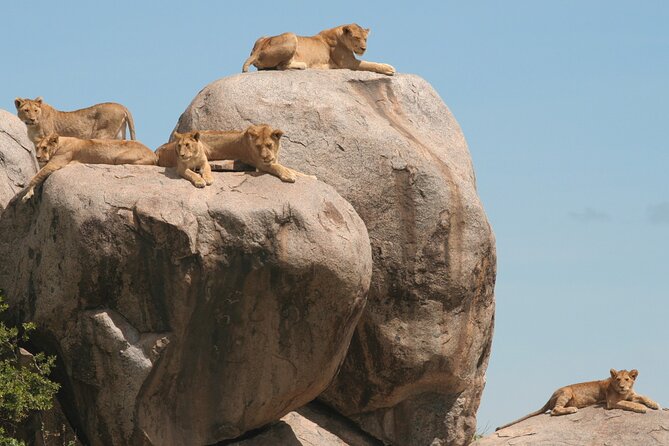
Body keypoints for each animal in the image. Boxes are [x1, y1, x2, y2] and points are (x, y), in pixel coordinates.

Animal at [20, 132, 157, 202]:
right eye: (37, 147)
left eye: (44, 148)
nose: (37, 157)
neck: (61, 143)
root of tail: (154, 154)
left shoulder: (56, 163)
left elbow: (35, 176)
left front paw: (27, 194)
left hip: (119, 158)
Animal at [156, 123, 314, 183]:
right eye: (258, 146)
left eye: (269, 145)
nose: (264, 156)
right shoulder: (261, 165)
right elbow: (278, 168)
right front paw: (288, 175)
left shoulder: (272, 160)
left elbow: (293, 169)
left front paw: (310, 176)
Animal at [241, 23, 394, 76]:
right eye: (356, 37)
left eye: (365, 39)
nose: (364, 48)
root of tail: (257, 48)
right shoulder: (348, 63)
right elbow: (369, 64)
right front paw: (388, 68)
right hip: (291, 35)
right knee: (281, 66)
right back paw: (302, 65)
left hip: (263, 37)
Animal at [494, 368, 660, 430]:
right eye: (618, 379)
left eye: (627, 379)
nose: (622, 387)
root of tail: (550, 396)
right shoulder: (612, 402)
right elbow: (627, 403)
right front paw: (642, 408)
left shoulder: (632, 395)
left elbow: (644, 396)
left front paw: (655, 405)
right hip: (566, 392)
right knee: (554, 410)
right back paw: (572, 409)